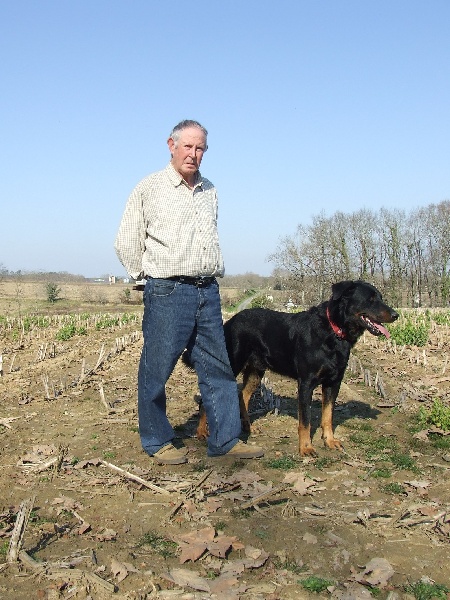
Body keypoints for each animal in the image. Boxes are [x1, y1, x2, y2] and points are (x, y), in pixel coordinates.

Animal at [185, 280, 398, 454]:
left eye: (381, 297)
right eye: (371, 299)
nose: (396, 315)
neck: (333, 331)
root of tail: (230, 321)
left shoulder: (333, 382)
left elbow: (327, 416)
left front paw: (329, 441)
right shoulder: (306, 383)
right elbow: (305, 421)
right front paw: (306, 448)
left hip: (256, 371)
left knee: (242, 396)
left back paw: (249, 428)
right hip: (231, 363)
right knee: (206, 400)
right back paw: (202, 431)